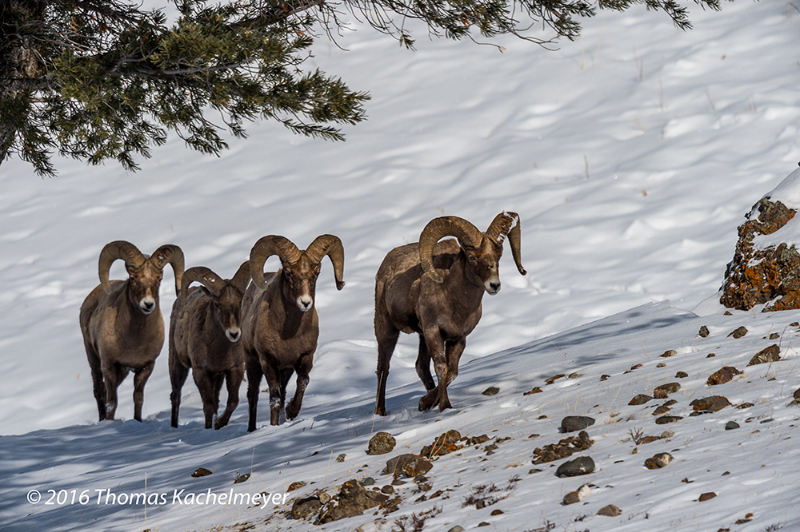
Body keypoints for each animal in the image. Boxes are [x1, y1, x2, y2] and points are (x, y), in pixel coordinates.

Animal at [78, 240, 184, 420]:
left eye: (160, 279)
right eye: (133, 279)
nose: (148, 304)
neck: (133, 340)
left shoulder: (145, 367)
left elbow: (138, 398)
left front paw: (137, 420)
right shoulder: (109, 365)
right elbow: (112, 402)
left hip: (123, 371)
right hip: (93, 357)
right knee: (99, 390)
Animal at [170, 262, 252, 428]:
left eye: (240, 302)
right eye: (217, 304)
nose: (234, 333)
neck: (218, 350)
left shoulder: (234, 369)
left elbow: (232, 402)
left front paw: (219, 423)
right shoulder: (200, 372)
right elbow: (208, 406)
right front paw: (209, 428)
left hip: (217, 377)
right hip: (177, 364)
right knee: (176, 395)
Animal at [242, 235, 346, 430]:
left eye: (317, 273)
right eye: (289, 273)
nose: (305, 302)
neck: (288, 334)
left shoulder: (304, 357)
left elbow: (302, 382)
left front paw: (291, 412)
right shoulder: (267, 361)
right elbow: (274, 398)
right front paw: (274, 426)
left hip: (285, 370)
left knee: (282, 391)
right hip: (252, 363)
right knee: (253, 394)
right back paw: (251, 430)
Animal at [374, 212, 524, 416]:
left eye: (498, 255)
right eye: (472, 257)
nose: (494, 285)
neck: (455, 301)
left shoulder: (458, 338)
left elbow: (452, 372)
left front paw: (427, 402)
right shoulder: (433, 332)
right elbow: (441, 368)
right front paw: (444, 406)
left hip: (421, 337)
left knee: (420, 366)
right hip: (388, 330)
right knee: (383, 368)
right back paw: (380, 412)